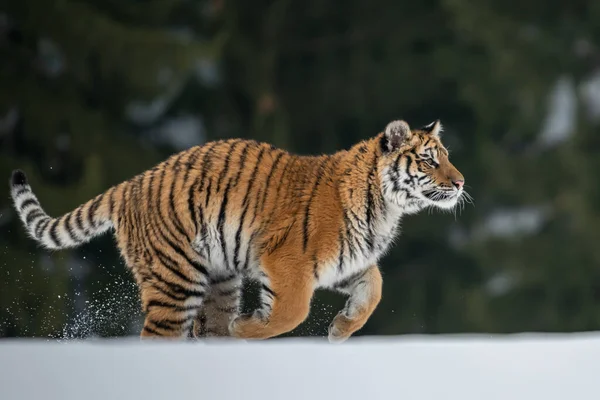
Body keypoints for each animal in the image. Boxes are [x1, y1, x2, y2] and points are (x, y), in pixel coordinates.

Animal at [10, 118, 468, 340]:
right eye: (429, 160)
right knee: (158, 336)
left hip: (218, 280)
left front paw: (340, 330)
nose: (462, 182)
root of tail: (131, 183)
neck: (386, 207)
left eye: (446, 155)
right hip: (175, 280)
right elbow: (291, 312)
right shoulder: (287, 263)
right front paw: (248, 328)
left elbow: (374, 290)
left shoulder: (346, 261)